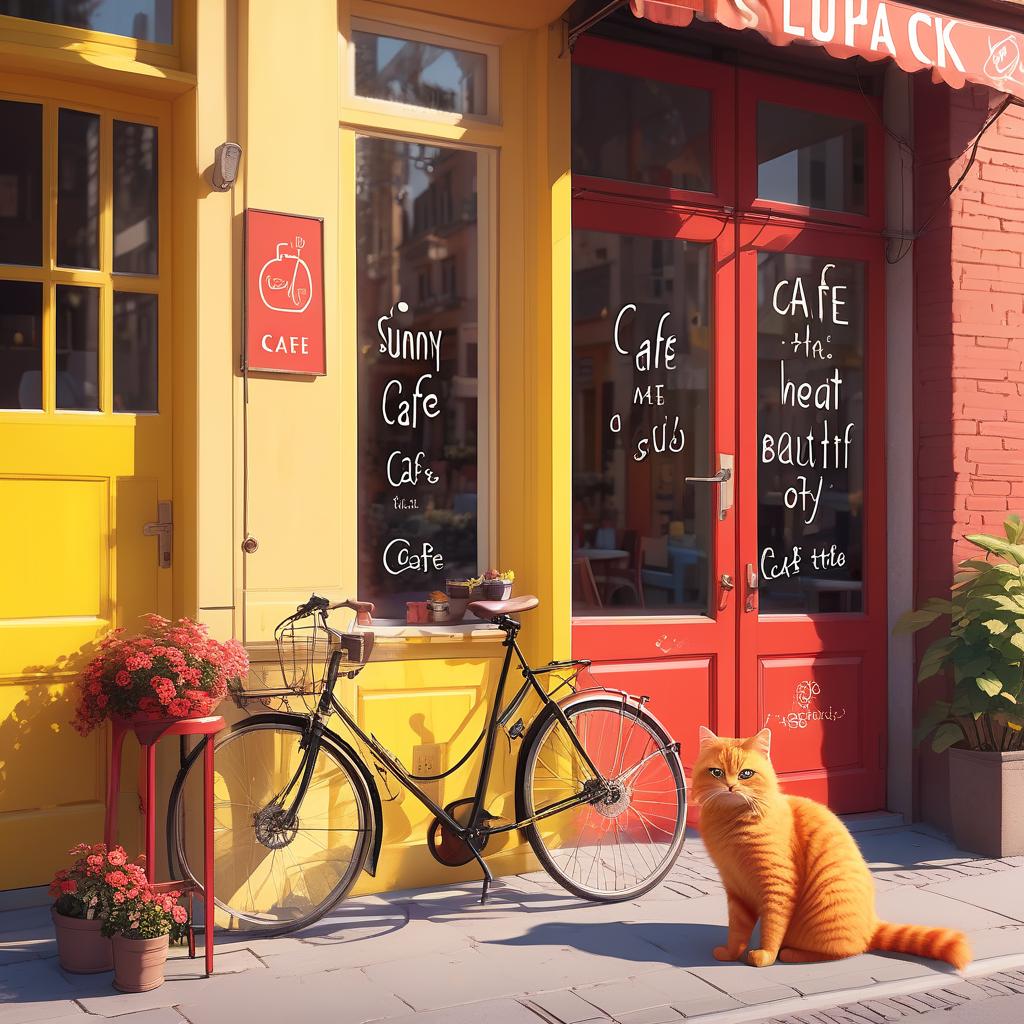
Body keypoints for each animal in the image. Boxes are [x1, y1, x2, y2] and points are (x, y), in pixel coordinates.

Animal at [692, 729, 970, 966]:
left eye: (746, 774)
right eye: (716, 772)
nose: (730, 786)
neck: (732, 823)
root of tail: (872, 925)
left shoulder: (777, 886)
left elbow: (773, 926)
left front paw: (765, 955)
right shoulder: (736, 888)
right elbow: (737, 931)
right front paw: (730, 954)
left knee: (845, 950)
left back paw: (790, 953)